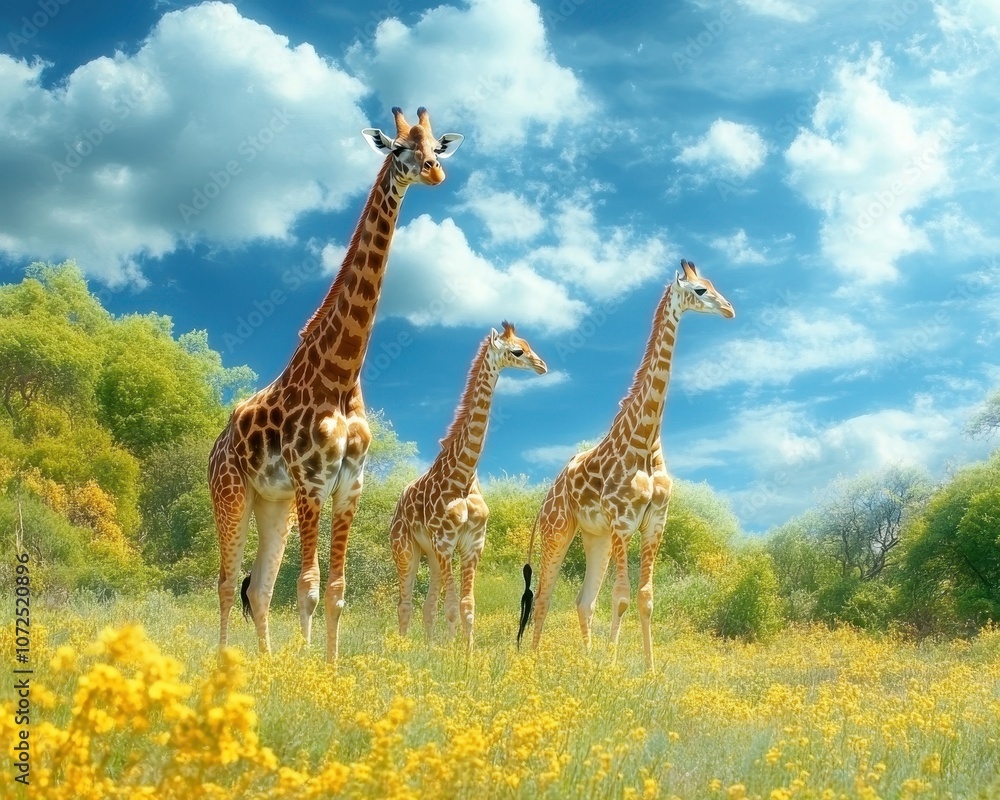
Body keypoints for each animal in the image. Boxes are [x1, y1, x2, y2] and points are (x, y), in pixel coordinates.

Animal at [209, 107, 463, 663]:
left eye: (437, 144)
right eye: (398, 148)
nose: (435, 171)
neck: (342, 373)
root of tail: (214, 448)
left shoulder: (349, 484)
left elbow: (336, 590)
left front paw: (325, 667)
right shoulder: (312, 480)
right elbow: (307, 585)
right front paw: (308, 667)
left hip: (272, 504)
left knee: (259, 587)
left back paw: (263, 663)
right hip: (231, 494)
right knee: (226, 582)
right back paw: (225, 663)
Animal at [390, 322, 547, 652]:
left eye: (528, 344)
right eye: (518, 351)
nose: (542, 366)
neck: (463, 476)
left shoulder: (473, 544)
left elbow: (467, 605)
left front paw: (466, 653)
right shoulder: (446, 542)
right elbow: (451, 605)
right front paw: (452, 652)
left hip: (432, 555)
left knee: (427, 605)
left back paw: (429, 647)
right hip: (406, 549)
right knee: (405, 603)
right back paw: (402, 647)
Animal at [518, 260, 734, 670]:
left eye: (713, 283)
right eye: (700, 290)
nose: (729, 309)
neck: (646, 440)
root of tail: (547, 495)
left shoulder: (654, 524)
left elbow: (645, 598)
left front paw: (647, 670)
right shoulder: (623, 522)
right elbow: (620, 596)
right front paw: (612, 668)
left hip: (595, 536)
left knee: (583, 601)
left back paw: (586, 662)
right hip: (559, 530)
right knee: (543, 597)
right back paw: (535, 662)